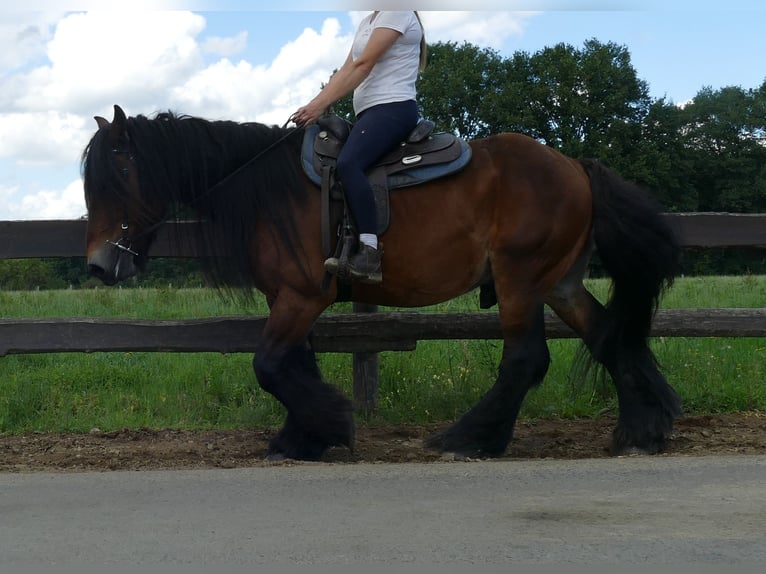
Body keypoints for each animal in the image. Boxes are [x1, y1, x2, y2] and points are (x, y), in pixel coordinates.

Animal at [82, 104, 682, 461]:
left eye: (118, 174)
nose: (99, 265)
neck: (269, 189)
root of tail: (576, 166)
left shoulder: (303, 295)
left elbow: (269, 366)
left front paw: (327, 424)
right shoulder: (290, 299)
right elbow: (294, 365)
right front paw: (306, 436)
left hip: (521, 279)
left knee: (526, 359)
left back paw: (470, 438)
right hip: (559, 283)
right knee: (609, 338)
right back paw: (641, 430)